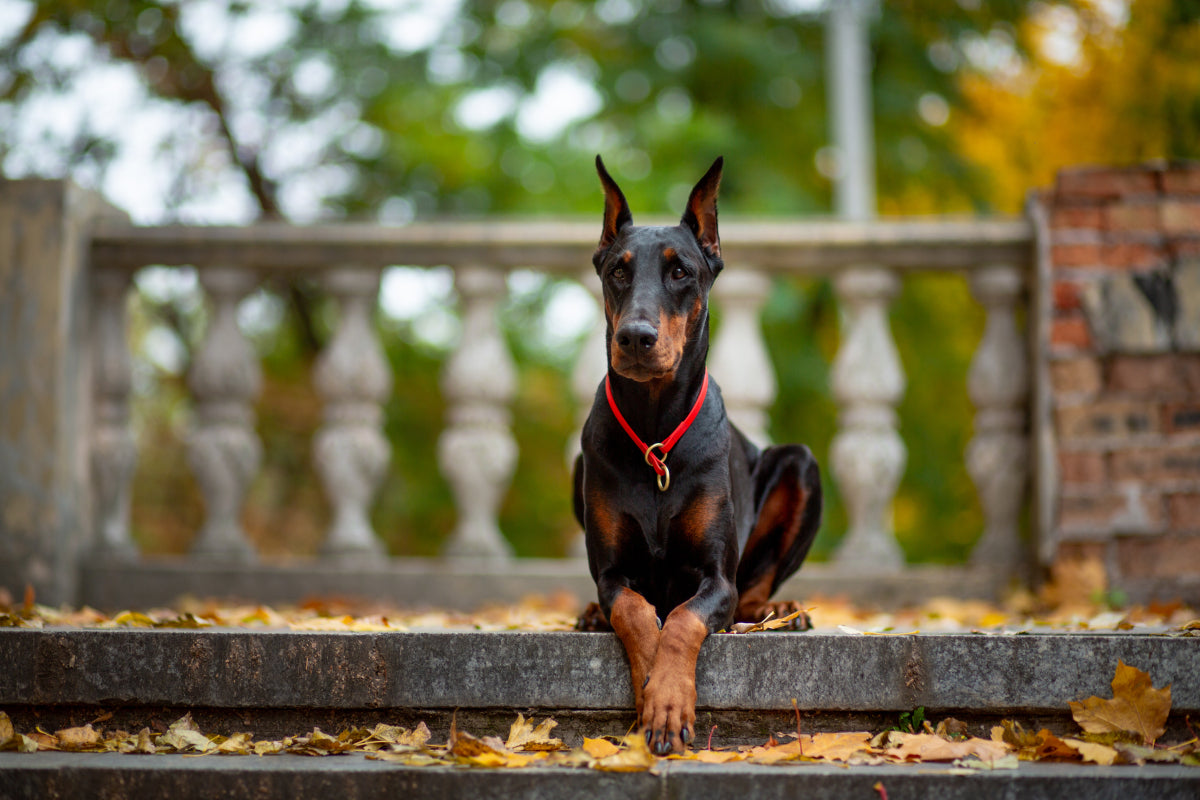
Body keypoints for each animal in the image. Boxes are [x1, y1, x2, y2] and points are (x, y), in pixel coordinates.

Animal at [573, 155, 825, 758]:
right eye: (617, 271)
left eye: (681, 271)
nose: (635, 337)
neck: (656, 433)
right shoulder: (612, 571)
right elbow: (634, 608)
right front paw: (651, 686)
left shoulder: (716, 578)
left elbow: (685, 618)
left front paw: (665, 701)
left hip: (801, 465)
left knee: (756, 587)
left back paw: (781, 613)